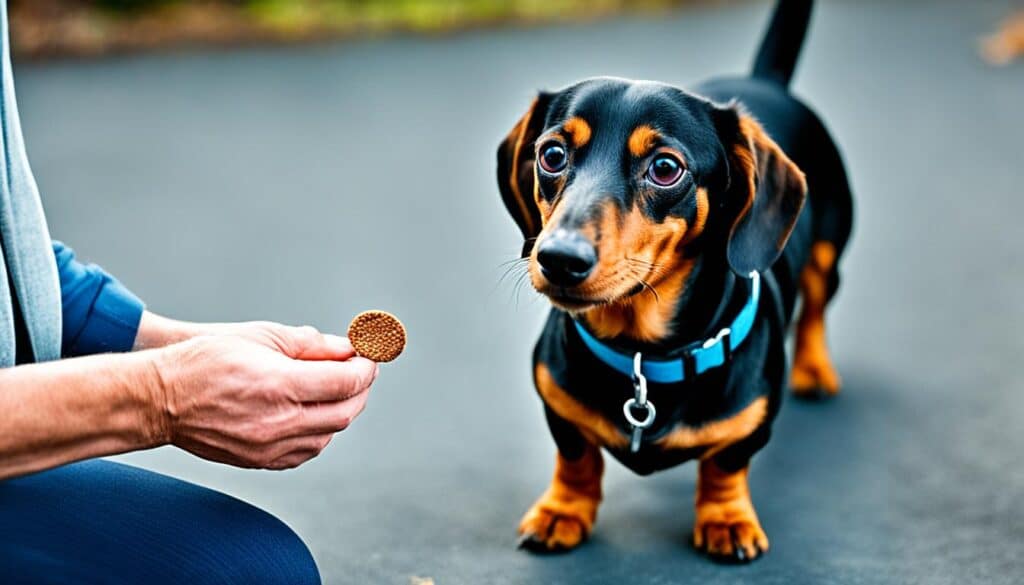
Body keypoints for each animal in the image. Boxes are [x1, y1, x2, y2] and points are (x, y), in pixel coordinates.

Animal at [495, 0, 856, 561]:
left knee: (816, 308)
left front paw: (726, 519)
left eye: (666, 167)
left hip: (828, 253)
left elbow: (725, 464)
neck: (644, 356)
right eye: (551, 155)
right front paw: (563, 511)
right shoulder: (555, 401)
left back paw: (814, 370)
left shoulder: (750, 425)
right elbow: (575, 456)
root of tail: (762, 81)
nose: (558, 259)